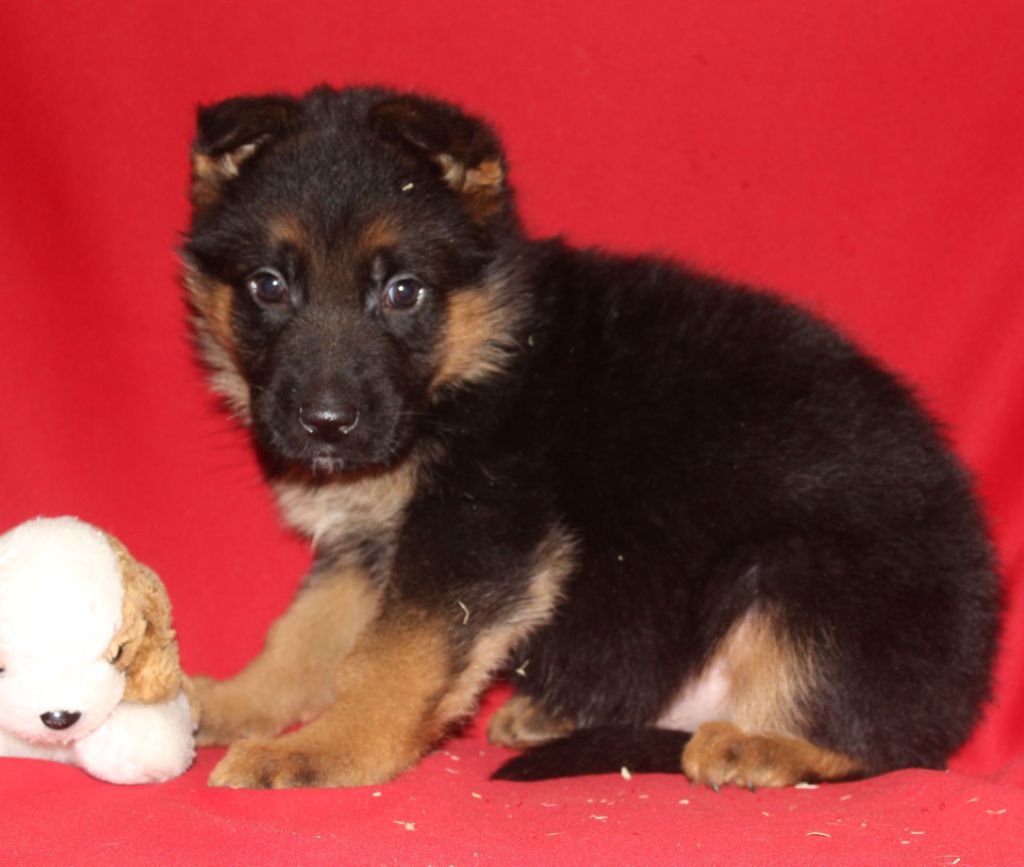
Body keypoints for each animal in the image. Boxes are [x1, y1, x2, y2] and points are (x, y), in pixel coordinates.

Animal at [182, 85, 1000, 789]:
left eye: (403, 292)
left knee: (882, 745)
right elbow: (303, 638)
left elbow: (391, 658)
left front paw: (324, 750)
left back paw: (761, 745)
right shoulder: (367, 549)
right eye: (268, 286)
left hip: (796, 573)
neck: (480, 356)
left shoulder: (474, 535)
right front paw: (228, 704)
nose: (326, 422)